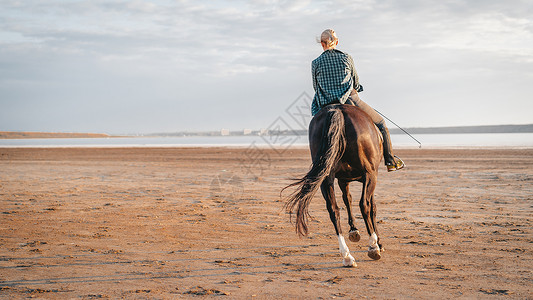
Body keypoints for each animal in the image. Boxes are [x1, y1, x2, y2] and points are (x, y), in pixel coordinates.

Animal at [282, 103, 382, 268]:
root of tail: (337, 109)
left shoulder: (343, 180)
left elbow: (347, 200)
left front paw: (354, 231)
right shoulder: (370, 177)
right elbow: (371, 207)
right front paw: (378, 242)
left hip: (326, 178)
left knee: (333, 210)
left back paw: (347, 256)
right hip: (369, 174)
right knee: (364, 205)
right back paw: (373, 246)